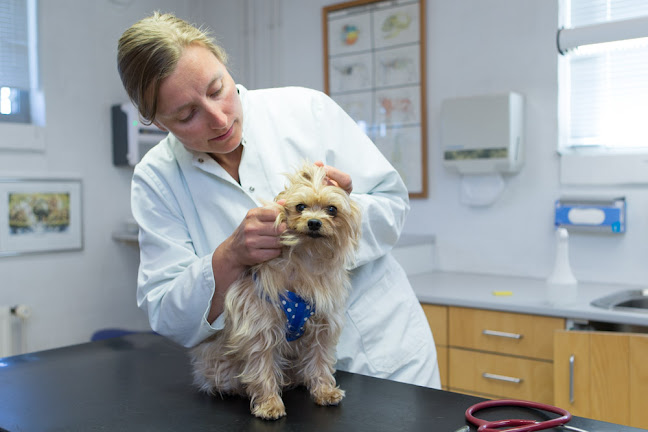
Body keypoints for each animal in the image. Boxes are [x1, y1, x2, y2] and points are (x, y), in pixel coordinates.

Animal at [192, 162, 364, 418]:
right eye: (300, 207)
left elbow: (320, 359)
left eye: (332, 209)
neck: (306, 256)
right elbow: (262, 365)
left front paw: (324, 391)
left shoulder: (323, 325)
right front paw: (269, 404)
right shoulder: (260, 326)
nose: (314, 222)